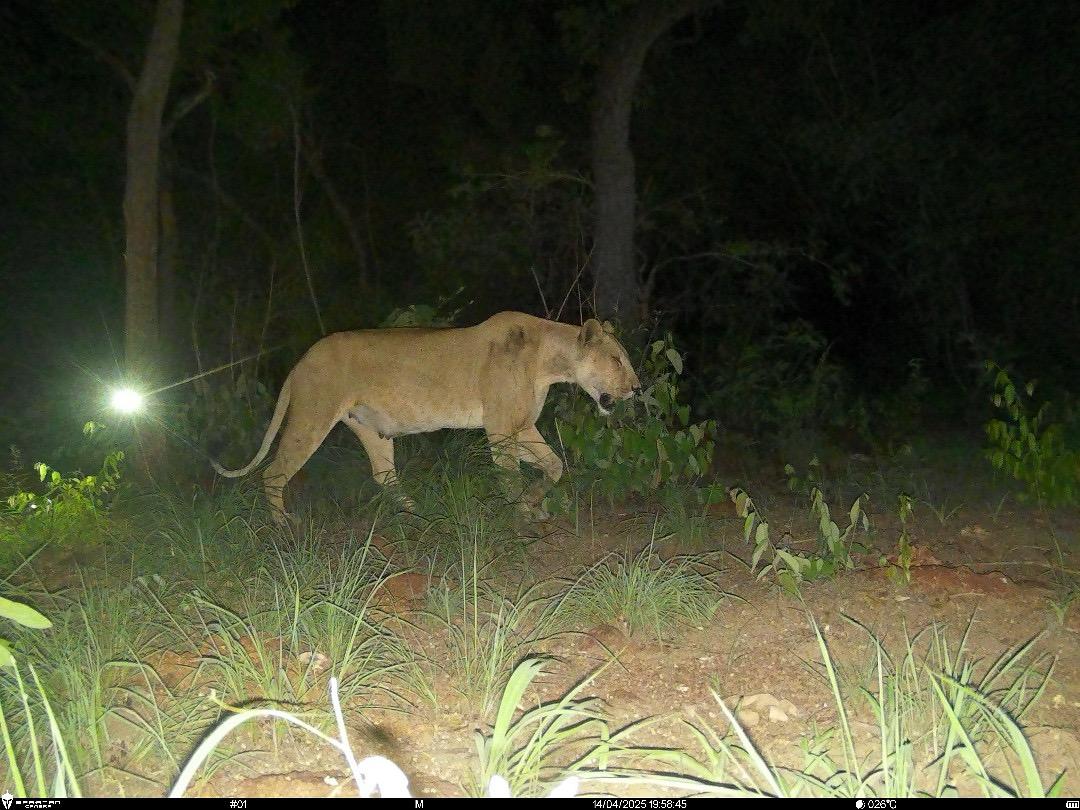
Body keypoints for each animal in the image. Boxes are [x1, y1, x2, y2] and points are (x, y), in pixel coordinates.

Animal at [211, 312, 641, 518]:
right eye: (618, 360)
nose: (637, 388)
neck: (550, 361)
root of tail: (301, 361)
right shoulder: (500, 428)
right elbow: (510, 476)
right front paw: (522, 514)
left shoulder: (521, 426)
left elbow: (554, 465)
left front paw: (535, 502)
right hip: (310, 419)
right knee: (272, 473)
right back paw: (284, 528)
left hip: (370, 430)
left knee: (384, 477)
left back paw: (420, 515)